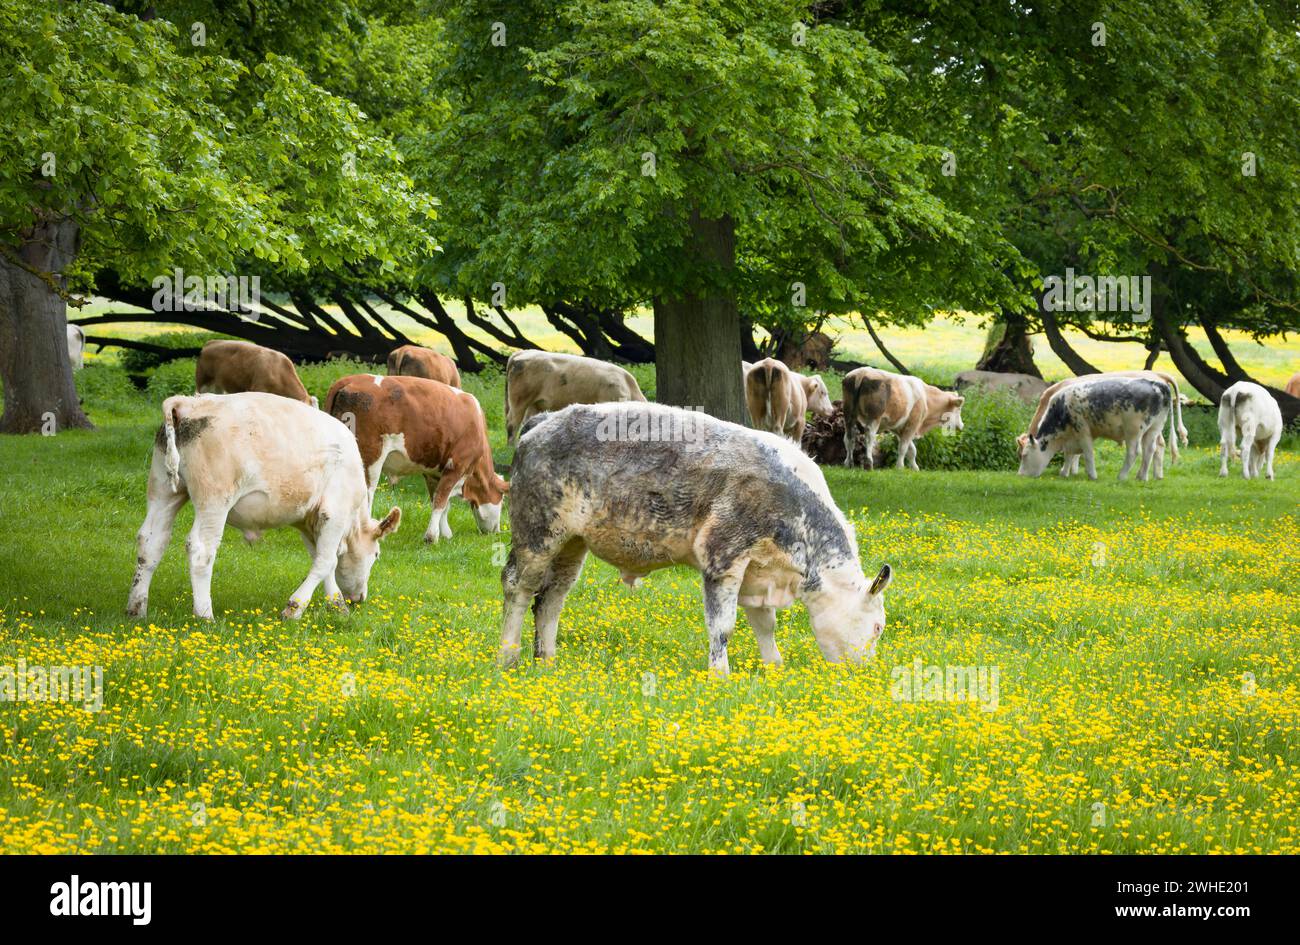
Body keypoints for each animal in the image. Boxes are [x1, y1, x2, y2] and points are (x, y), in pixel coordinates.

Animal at [125, 393, 401, 621]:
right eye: (377, 554)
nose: (359, 598)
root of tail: (188, 403)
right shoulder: (334, 513)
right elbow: (325, 561)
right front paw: (295, 608)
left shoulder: (311, 519)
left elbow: (322, 560)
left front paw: (336, 604)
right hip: (213, 501)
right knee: (201, 550)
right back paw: (205, 615)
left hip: (164, 491)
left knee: (151, 541)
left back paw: (136, 608)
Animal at [324, 374, 508, 542]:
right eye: (502, 500)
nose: (497, 531)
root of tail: (350, 379)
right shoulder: (457, 466)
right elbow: (441, 500)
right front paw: (431, 537)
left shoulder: (434, 472)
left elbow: (441, 503)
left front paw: (445, 534)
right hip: (370, 457)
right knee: (366, 494)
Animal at [499, 402, 893, 676]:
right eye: (877, 627)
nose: (865, 675)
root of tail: (545, 420)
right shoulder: (723, 556)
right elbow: (722, 627)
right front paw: (720, 674)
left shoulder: (758, 572)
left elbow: (765, 625)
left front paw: (774, 667)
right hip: (537, 533)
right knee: (518, 587)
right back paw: (507, 656)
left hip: (571, 544)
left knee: (551, 599)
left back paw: (547, 660)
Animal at [1017, 371, 1189, 477]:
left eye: (1023, 455)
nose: (1020, 474)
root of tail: (1158, 379)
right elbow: (1071, 453)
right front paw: (1067, 472)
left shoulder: (1081, 429)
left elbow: (1082, 453)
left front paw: (1079, 473)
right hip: (1154, 427)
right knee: (1154, 447)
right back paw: (1150, 476)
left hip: (1135, 429)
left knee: (1141, 450)